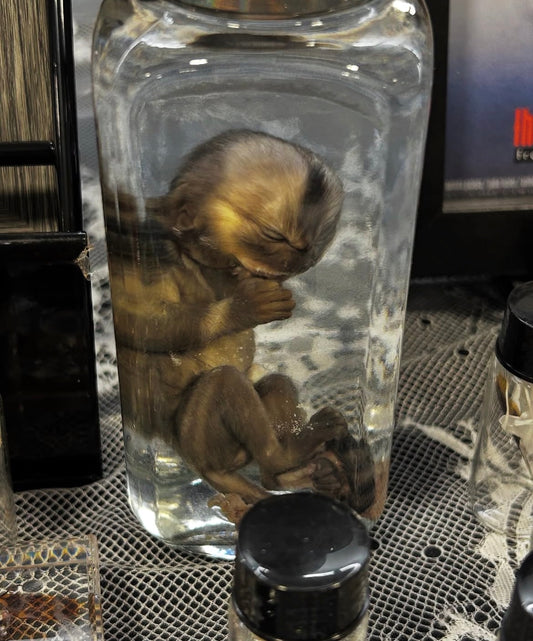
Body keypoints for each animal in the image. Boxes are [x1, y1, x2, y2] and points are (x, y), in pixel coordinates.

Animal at [105, 130, 375, 522]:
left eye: (313, 249)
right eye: (273, 234)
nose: (296, 262)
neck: (203, 263)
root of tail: (191, 457)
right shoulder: (149, 258)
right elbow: (145, 323)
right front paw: (245, 307)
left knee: (274, 387)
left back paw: (293, 472)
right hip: (199, 436)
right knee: (225, 384)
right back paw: (285, 455)